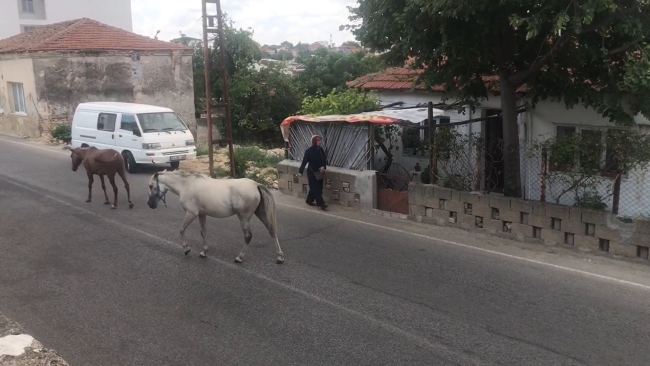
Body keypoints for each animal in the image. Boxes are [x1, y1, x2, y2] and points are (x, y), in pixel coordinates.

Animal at [148, 170, 284, 264]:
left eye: (150, 186)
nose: (150, 204)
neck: (187, 184)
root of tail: (256, 185)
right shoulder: (201, 214)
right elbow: (203, 232)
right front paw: (204, 252)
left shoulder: (191, 213)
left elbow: (181, 229)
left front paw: (186, 249)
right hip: (261, 214)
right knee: (272, 231)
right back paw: (279, 257)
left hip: (244, 218)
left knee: (248, 236)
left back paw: (239, 257)